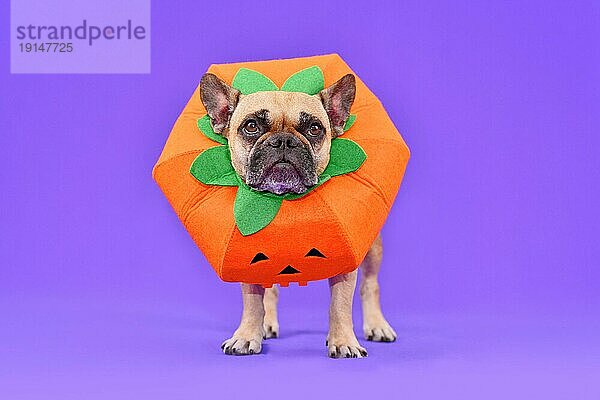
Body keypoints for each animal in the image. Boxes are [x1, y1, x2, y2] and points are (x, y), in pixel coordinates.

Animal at [198, 72, 398, 360]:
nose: (284, 140)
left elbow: (339, 305)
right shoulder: (249, 262)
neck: (283, 199)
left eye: (314, 129)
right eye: (251, 126)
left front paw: (343, 341)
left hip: (372, 248)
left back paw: (377, 325)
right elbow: (253, 302)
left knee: (370, 285)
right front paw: (246, 336)